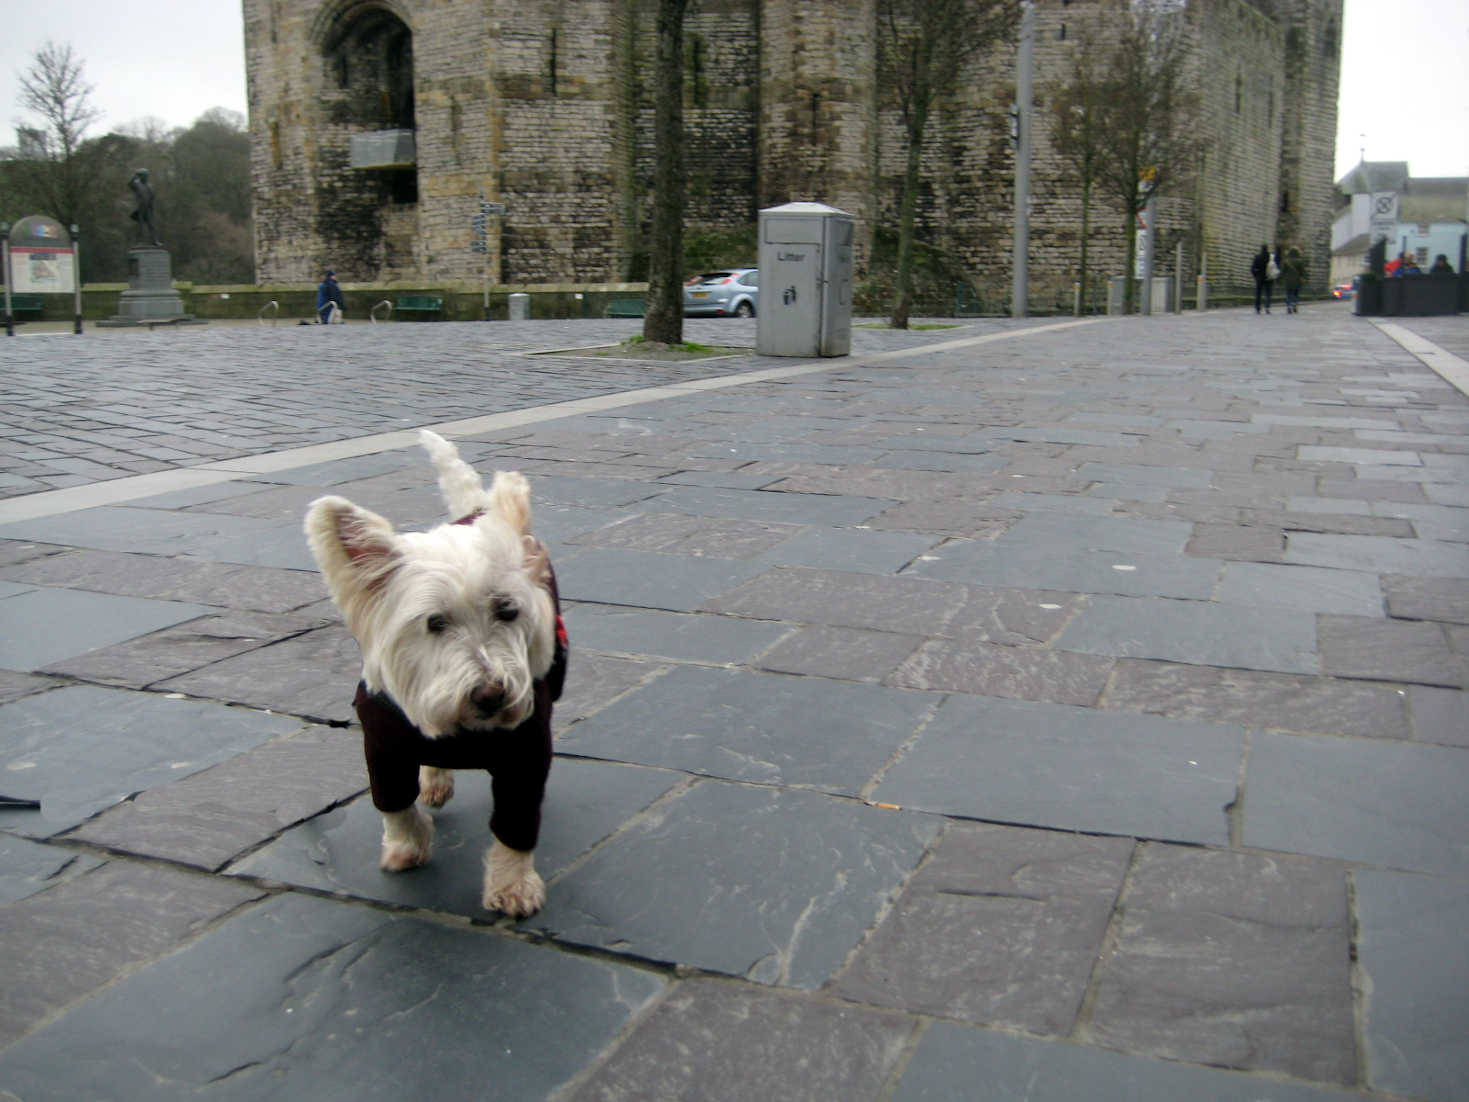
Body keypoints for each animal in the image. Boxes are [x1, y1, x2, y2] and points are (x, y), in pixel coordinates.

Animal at [305, 431, 567, 922]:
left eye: (508, 611)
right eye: (435, 622)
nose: (491, 695)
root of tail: (475, 510)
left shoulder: (525, 753)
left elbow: (516, 822)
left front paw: (513, 886)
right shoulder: (384, 744)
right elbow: (393, 801)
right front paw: (406, 846)